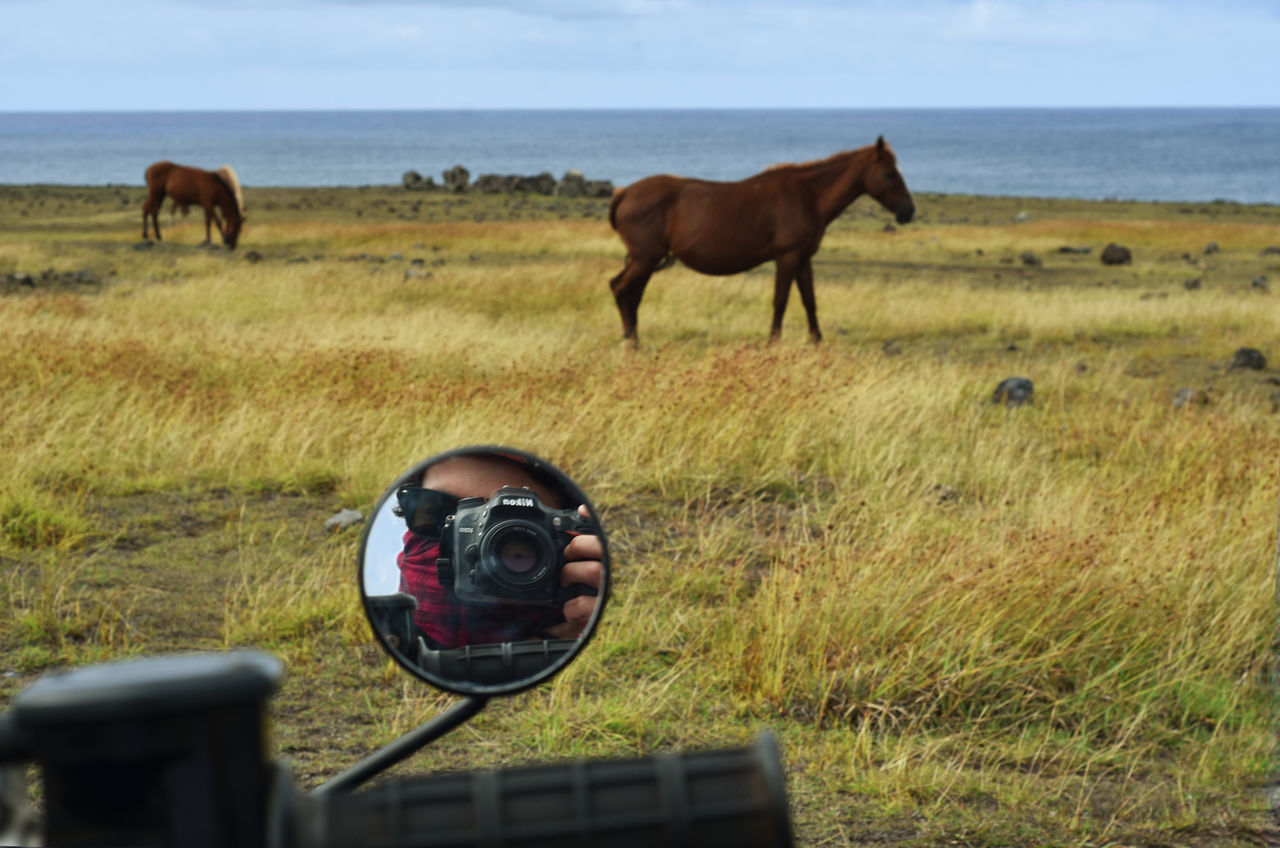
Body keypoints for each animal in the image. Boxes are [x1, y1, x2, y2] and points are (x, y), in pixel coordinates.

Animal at [606, 134, 916, 343]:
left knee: (630, 294)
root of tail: (626, 192)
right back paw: (631, 343)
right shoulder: (787, 257)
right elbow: (781, 300)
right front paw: (773, 343)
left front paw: (817, 341)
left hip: (644, 260)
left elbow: (809, 300)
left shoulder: (803, 259)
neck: (807, 196)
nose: (908, 211)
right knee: (622, 290)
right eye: (889, 173)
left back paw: (633, 339)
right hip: (645, 259)